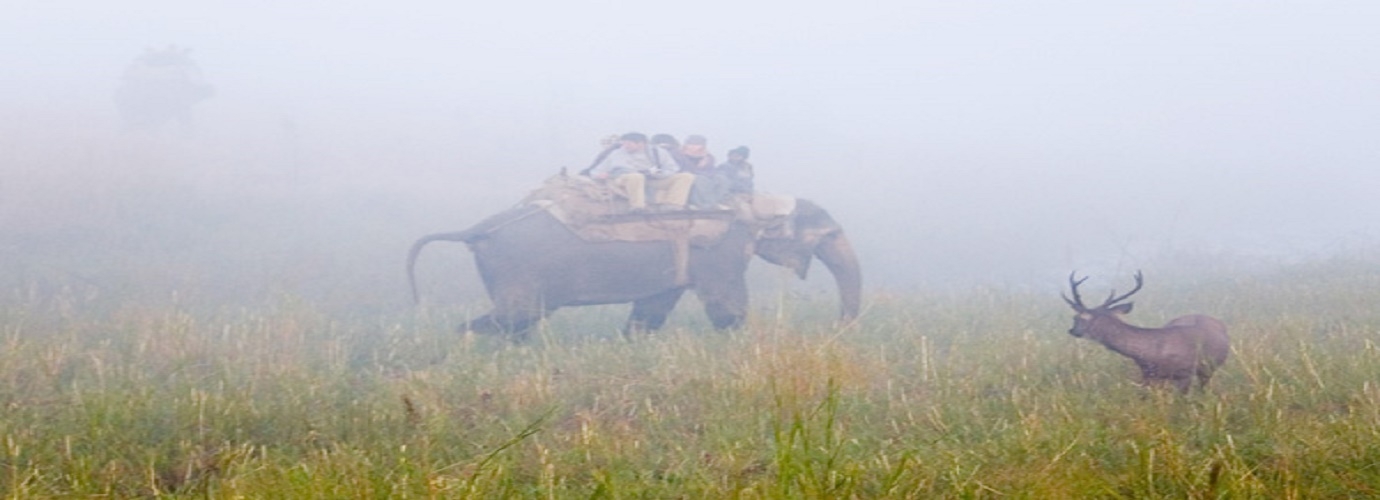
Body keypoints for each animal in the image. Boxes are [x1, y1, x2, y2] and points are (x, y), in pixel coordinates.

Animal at [405, 194, 861, 335]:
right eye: (829, 235)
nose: (838, 328)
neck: (752, 205)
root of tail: (475, 230)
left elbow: (653, 307)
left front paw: (635, 339)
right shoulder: (720, 253)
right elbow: (725, 307)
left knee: (518, 322)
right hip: (519, 270)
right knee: (514, 317)